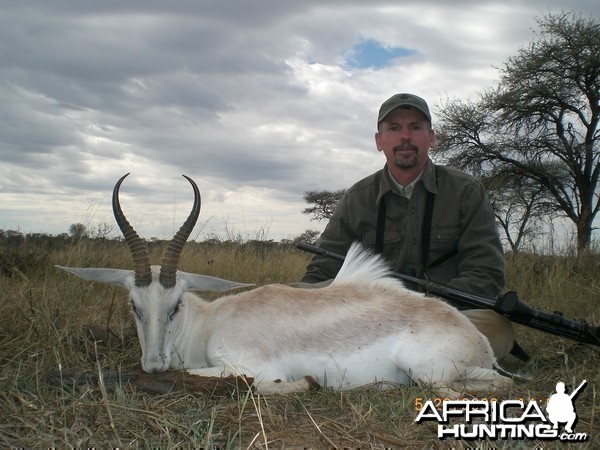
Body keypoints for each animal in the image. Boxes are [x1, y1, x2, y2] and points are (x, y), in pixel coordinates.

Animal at [58, 172, 510, 394]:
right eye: (134, 305)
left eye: (175, 305)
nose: (153, 364)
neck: (210, 323)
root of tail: (480, 343)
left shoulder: (243, 366)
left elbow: (247, 383)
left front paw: (305, 384)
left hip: (428, 374)